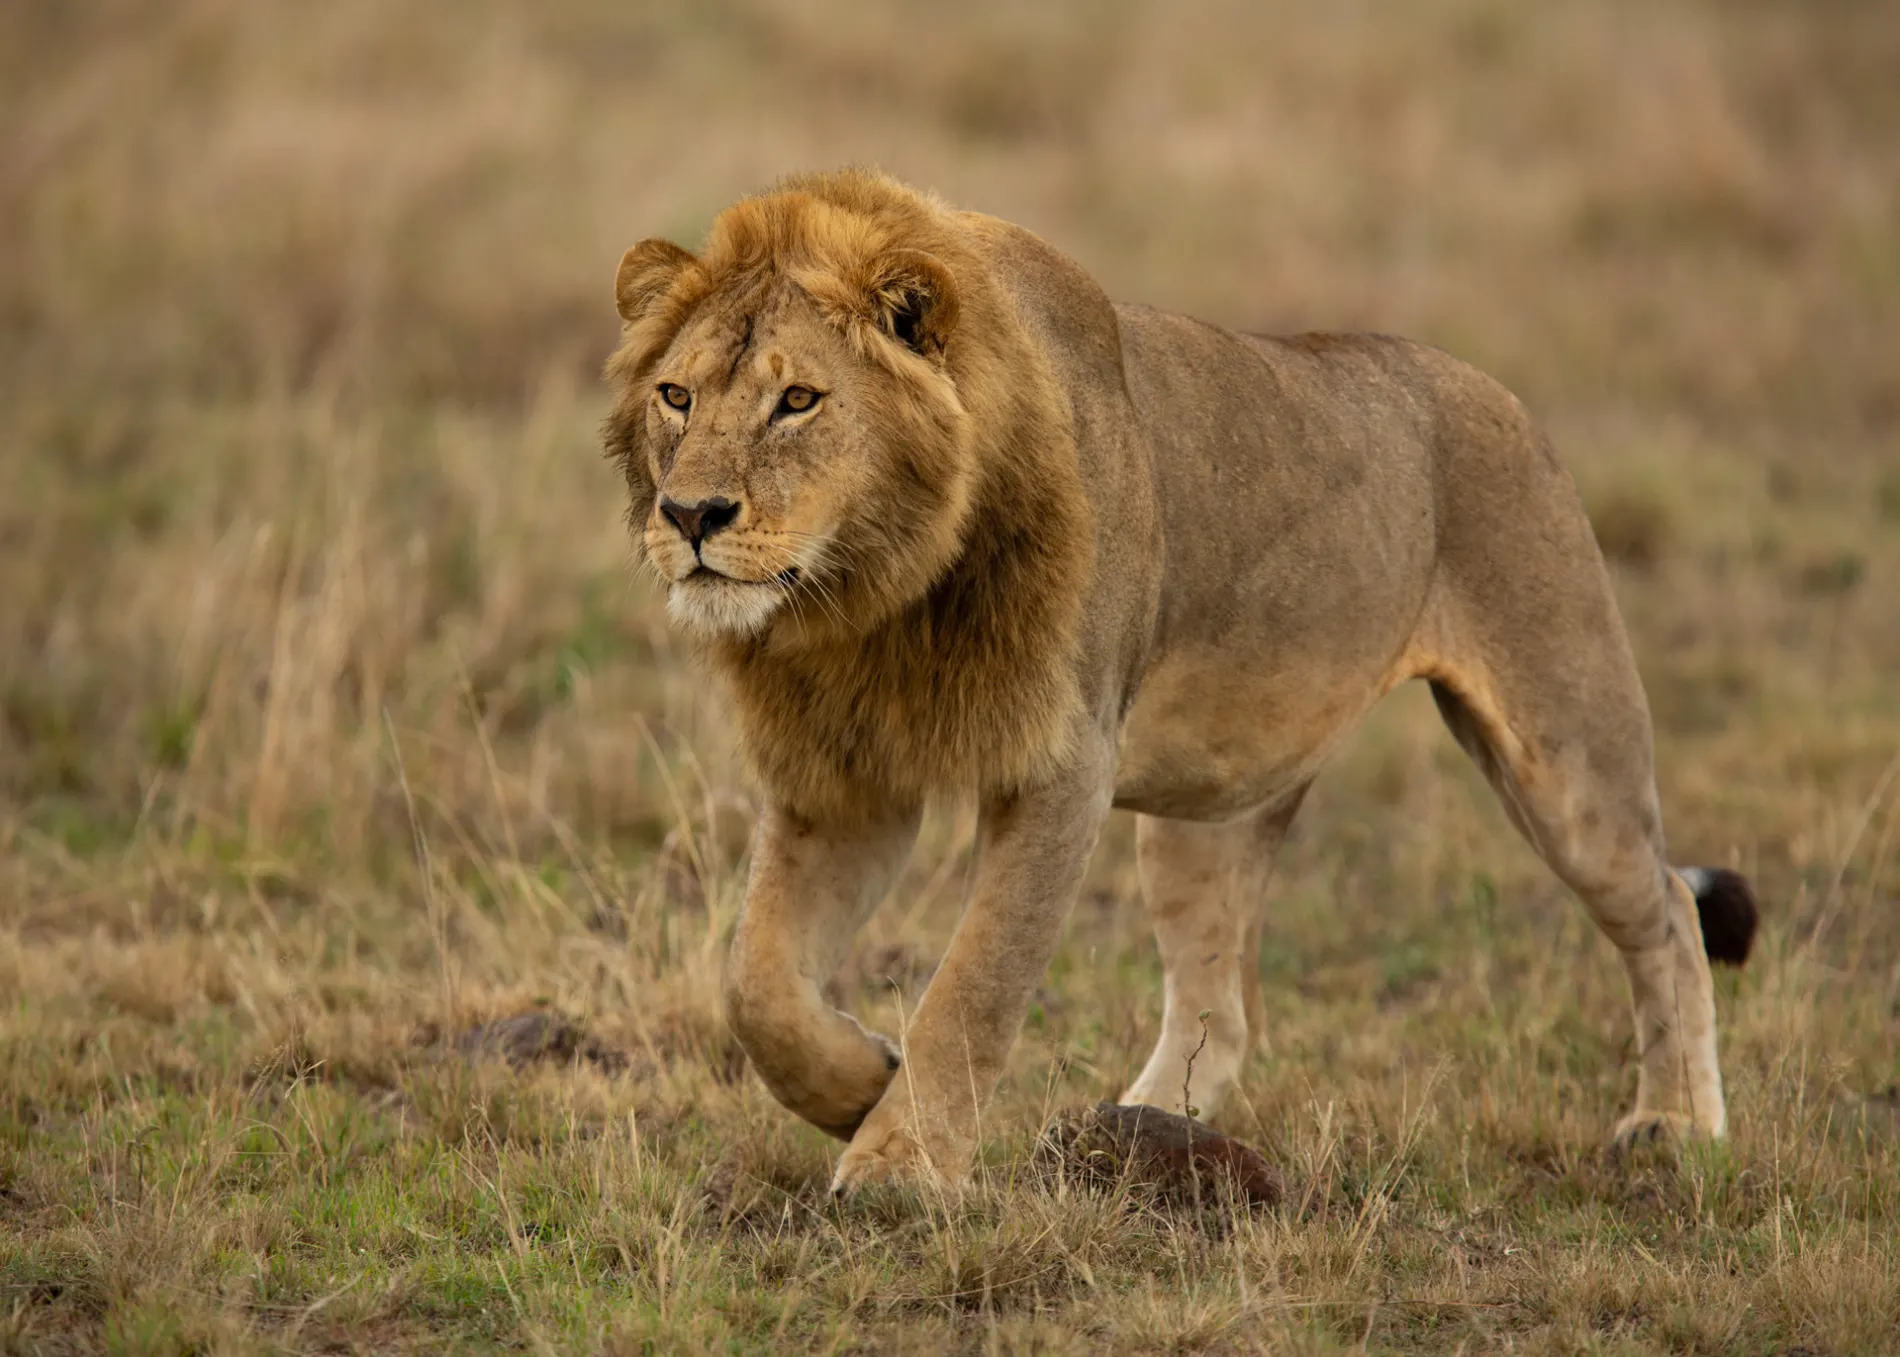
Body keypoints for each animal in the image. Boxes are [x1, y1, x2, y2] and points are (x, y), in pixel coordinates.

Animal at [600, 166, 1755, 1185]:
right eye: (676, 396)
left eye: (798, 400)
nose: (689, 515)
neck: (871, 598)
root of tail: (1500, 393)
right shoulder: (843, 777)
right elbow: (755, 981)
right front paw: (855, 1089)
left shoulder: (1061, 768)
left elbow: (974, 984)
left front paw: (900, 1169)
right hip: (1205, 814)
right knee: (1221, 1006)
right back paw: (1134, 1133)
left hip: (1566, 749)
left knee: (1665, 907)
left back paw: (1672, 1125)